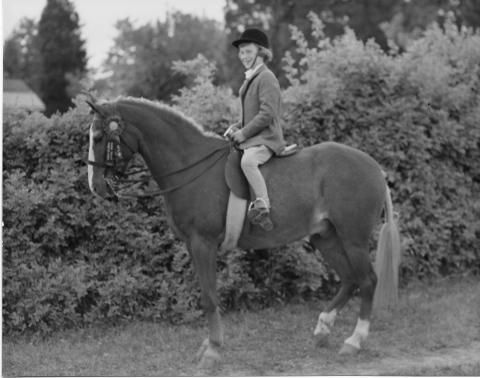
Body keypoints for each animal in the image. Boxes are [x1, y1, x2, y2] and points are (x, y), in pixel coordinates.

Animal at [86, 96, 402, 370]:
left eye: (99, 138)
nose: (96, 187)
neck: (190, 167)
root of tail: (374, 167)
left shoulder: (203, 243)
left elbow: (209, 296)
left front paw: (212, 351)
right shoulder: (192, 245)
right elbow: (208, 292)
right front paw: (209, 346)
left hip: (353, 238)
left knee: (367, 280)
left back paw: (354, 341)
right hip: (326, 237)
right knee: (349, 279)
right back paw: (322, 329)